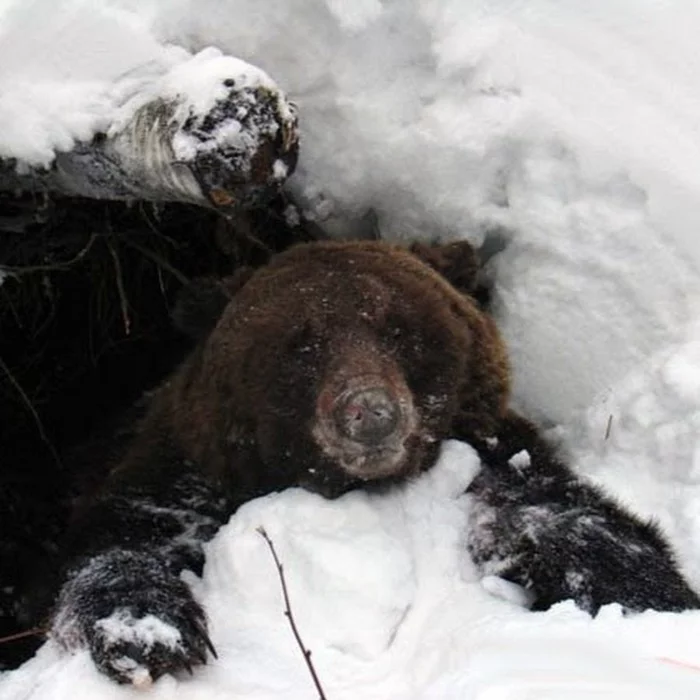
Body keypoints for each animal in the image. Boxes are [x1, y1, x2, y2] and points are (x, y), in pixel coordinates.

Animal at [49, 239, 700, 684]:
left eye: (398, 328)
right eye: (300, 341)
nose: (369, 411)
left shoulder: (490, 461)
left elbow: (566, 521)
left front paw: (651, 595)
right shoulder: (183, 475)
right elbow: (127, 538)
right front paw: (147, 635)